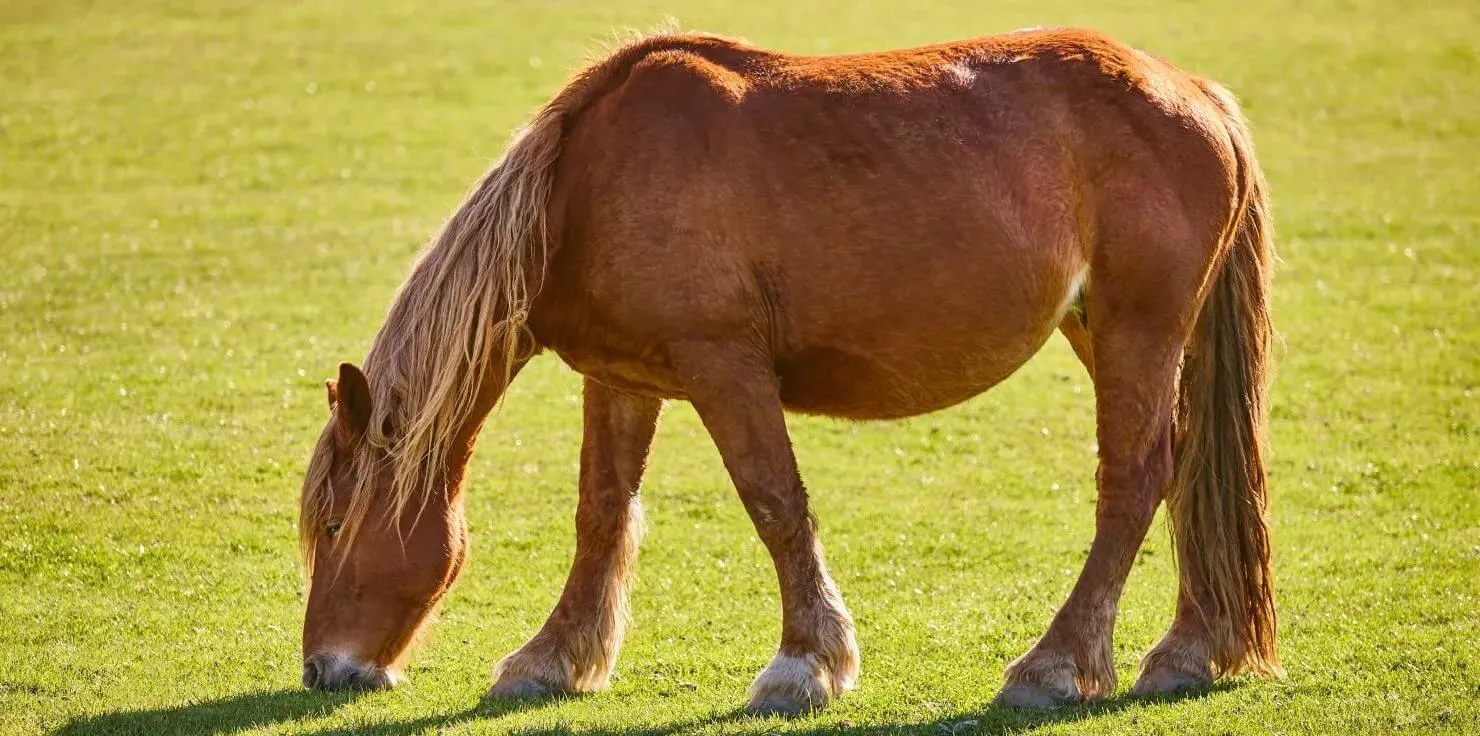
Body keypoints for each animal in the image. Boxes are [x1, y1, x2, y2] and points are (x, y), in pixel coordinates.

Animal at [296, 27, 1280, 714]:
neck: (583, 189)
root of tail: (1198, 94)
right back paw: (1188, 651)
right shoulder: (622, 378)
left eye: (338, 522)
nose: (321, 669)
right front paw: (551, 660)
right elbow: (601, 514)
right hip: (1108, 331)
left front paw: (805, 665)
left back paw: (1056, 666)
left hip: (1137, 329)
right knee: (1185, 473)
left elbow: (773, 502)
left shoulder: (723, 367)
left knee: (1135, 481)